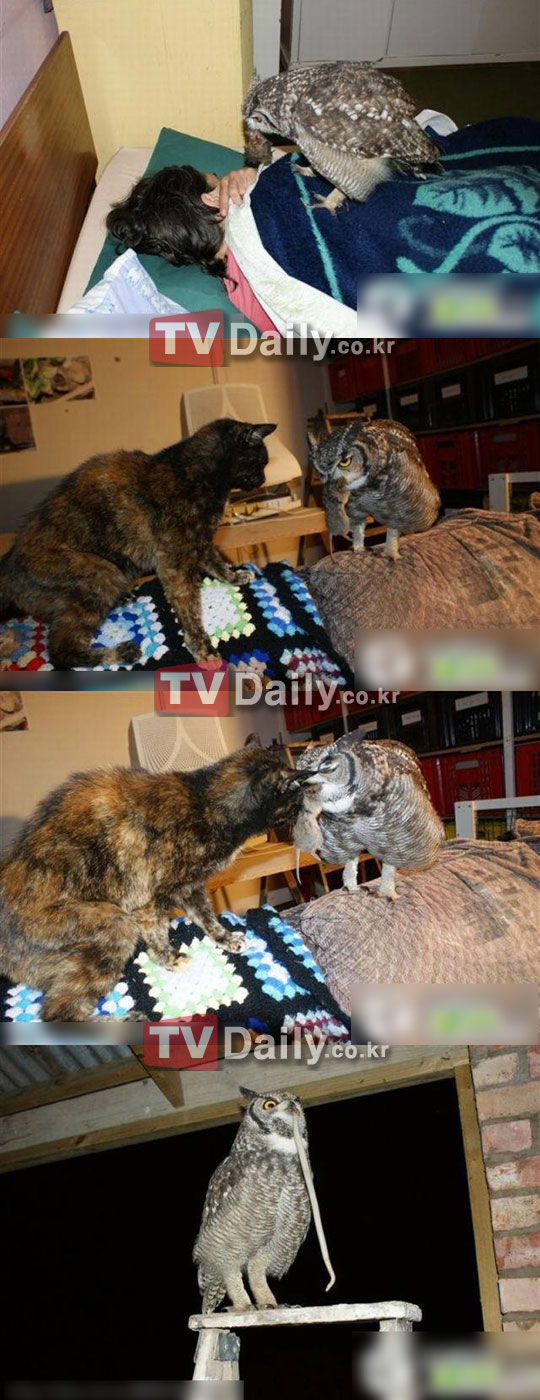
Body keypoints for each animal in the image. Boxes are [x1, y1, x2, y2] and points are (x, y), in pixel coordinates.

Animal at [0, 419, 275, 668]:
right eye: (261, 462)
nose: (263, 479)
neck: (194, 472)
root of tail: (9, 568)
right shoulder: (175, 564)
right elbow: (190, 609)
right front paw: (202, 648)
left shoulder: (200, 543)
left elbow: (217, 563)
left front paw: (234, 576)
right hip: (100, 572)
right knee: (60, 650)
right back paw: (119, 653)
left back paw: (121, 599)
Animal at [0, 743, 315, 1021]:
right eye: (297, 800)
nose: (309, 815)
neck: (207, 804)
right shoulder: (148, 899)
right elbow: (157, 931)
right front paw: (168, 958)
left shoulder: (190, 887)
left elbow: (207, 917)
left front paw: (225, 938)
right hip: (116, 923)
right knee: (58, 1013)